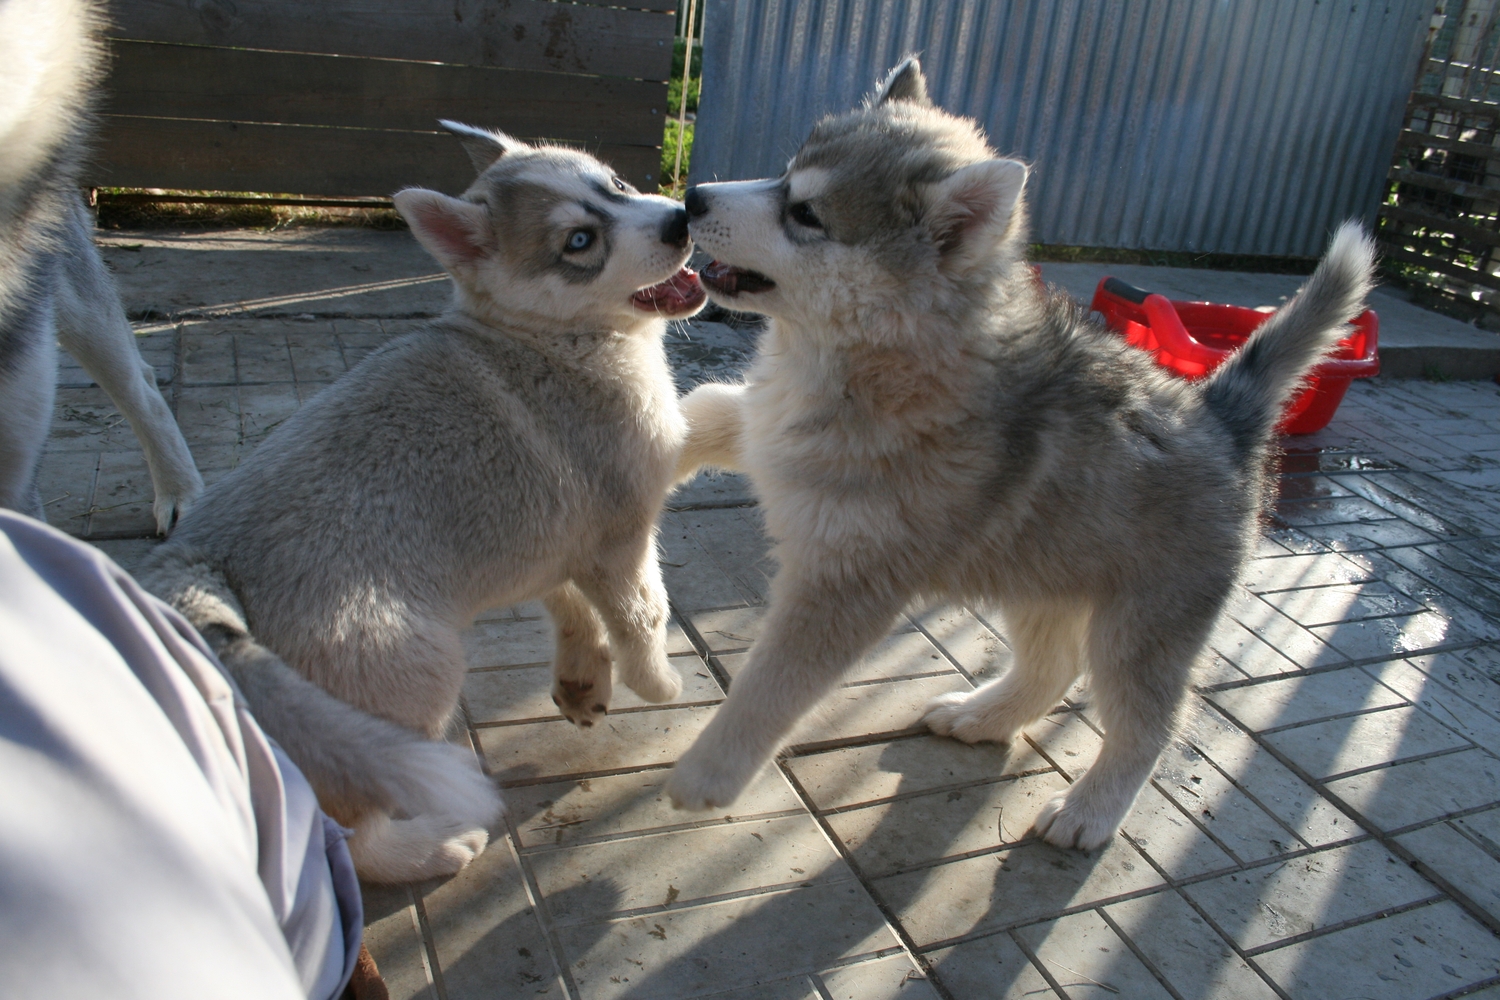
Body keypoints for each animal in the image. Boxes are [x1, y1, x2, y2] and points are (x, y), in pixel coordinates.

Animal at [139, 127, 702, 881]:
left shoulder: (559, 545)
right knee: (354, 831)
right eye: (580, 242)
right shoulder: (623, 539)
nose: (681, 220)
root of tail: (194, 564)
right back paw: (432, 847)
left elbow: (570, 609)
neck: (547, 338)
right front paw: (661, 684)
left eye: (614, 184)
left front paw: (583, 680)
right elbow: (643, 620)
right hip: (417, 679)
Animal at [675, 56, 1374, 851]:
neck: (866, 355)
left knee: (1147, 726)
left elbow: (768, 688)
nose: (691, 198)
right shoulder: (770, 426)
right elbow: (707, 408)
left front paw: (706, 773)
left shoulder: (844, 583)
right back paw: (982, 715)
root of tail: (1219, 413)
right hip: (1043, 582)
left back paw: (1090, 810)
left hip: (1139, 630)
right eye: (785, 173)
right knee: (1052, 667)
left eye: (806, 214)